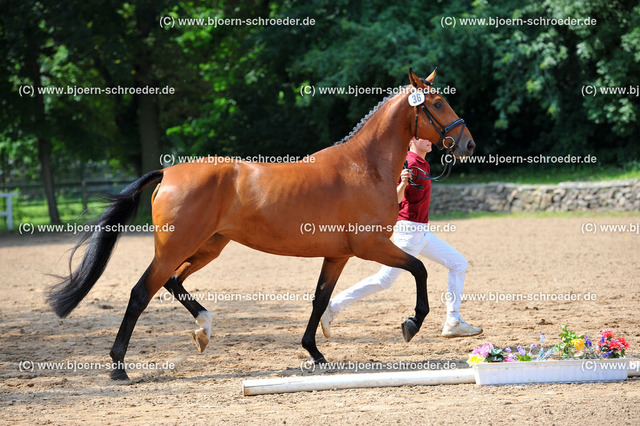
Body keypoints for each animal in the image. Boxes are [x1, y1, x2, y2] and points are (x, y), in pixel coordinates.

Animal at [47, 68, 472, 382]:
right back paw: (119, 367)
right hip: (175, 248)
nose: (467, 144)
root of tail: (167, 173)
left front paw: (315, 352)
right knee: (141, 293)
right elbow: (418, 269)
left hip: (208, 247)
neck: (363, 167)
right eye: (437, 102)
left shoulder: (337, 256)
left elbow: (320, 299)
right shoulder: (372, 247)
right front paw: (411, 323)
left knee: (174, 282)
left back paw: (204, 328)